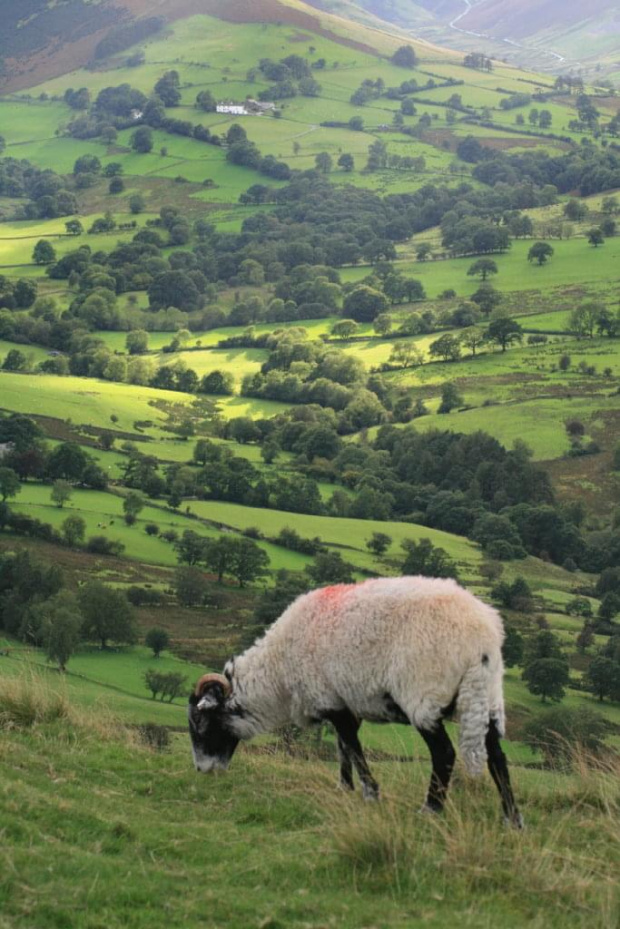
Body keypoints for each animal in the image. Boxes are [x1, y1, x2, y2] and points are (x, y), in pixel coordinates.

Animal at [188, 572, 524, 828]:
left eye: (200, 723)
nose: (202, 770)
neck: (279, 674)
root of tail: (480, 639)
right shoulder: (345, 702)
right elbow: (343, 749)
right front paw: (344, 787)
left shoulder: (330, 701)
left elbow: (353, 749)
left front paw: (370, 794)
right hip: (487, 697)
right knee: (497, 756)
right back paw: (512, 820)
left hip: (424, 695)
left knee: (444, 754)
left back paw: (430, 810)